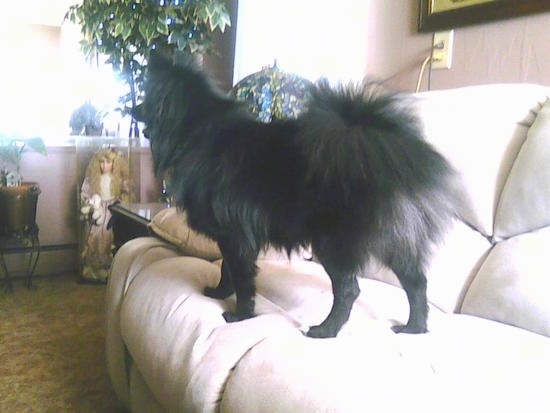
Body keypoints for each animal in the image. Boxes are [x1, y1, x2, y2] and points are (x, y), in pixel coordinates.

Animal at [134, 54, 458, 338]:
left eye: (145, 99)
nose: (131, 108)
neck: (196, 130)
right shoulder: (233, 237)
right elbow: (227, 269)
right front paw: (219, 292)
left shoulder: (236, 236)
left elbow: (242, 277)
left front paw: (240, 315)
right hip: (395, 242)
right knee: (416, 283)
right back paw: (414, 327)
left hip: (333, 244)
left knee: (349, 290)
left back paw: (326, 331)